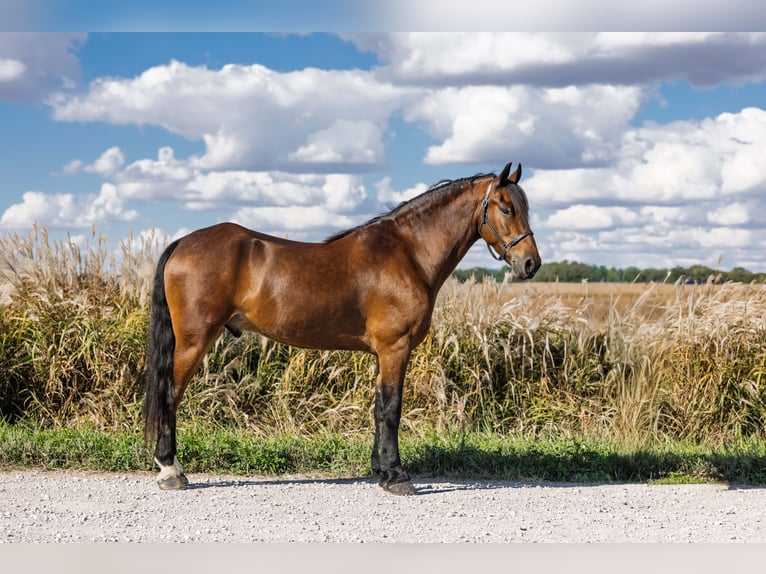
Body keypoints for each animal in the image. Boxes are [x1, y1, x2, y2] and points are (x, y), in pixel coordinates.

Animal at [143, 161, 540, 495]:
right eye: (506, 208)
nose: (530, 263)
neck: (408, 253)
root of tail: (183, 243)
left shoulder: (384, 352)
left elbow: (379, 407)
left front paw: (381, 469)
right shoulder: (395, 348)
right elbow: (391, 409)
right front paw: (397, 477)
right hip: (194, 341)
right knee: (170, 395)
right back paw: (171, 471)